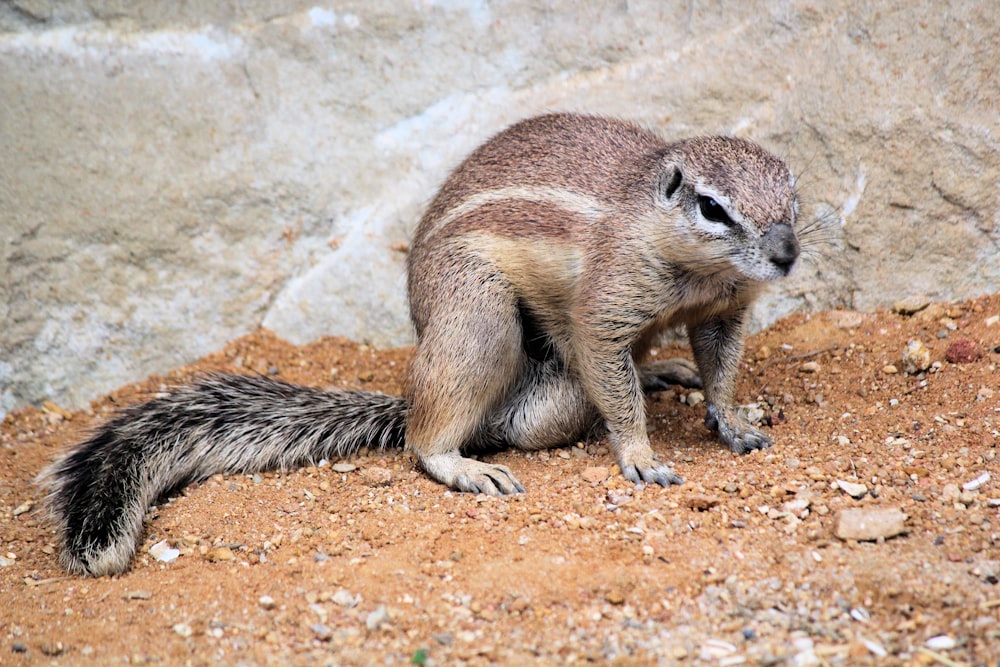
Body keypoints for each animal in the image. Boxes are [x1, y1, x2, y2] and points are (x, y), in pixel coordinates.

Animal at [43, 113, 800, 576]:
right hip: (477, 315)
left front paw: (732, 419)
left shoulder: (724, 310)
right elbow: (608, 373)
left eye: (793, 196)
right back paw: (460, 462)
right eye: (712, 208)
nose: (788, 255)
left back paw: (663, 370)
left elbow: (721, 365)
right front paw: (640, 454)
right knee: (446, 430)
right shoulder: (608, 305)